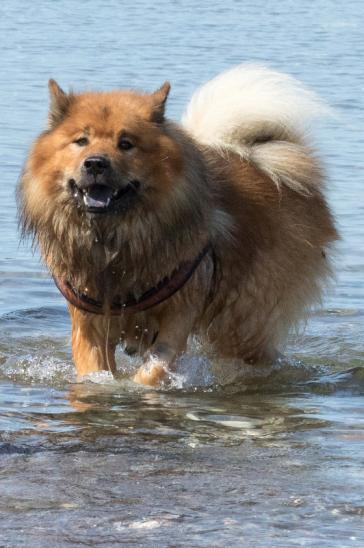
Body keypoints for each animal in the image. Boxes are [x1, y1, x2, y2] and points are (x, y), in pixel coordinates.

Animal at [17, 65, 338, 386]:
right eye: (81, 141)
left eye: (126, 144)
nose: (95, 163)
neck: (116, 240)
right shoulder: (90, 321)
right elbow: (95, 370)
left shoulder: (178, 314)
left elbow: (154, 368)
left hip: (241, 318)